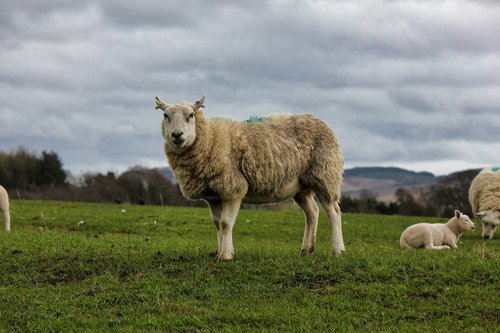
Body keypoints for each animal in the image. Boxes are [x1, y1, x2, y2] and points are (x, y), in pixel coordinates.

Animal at [154, 94, 346, 260]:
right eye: (165, 115)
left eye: (191, 115)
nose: (177, 135)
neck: (211, 138)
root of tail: (316, 119)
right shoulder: (213, 196)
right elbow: (217, 224)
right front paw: (220, 252)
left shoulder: (233, 188)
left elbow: (226, 223)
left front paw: (226, 255)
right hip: (300, 187)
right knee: (312, 212)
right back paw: (306, 250)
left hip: (325, 175)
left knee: (334, 211)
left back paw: (338, 250)